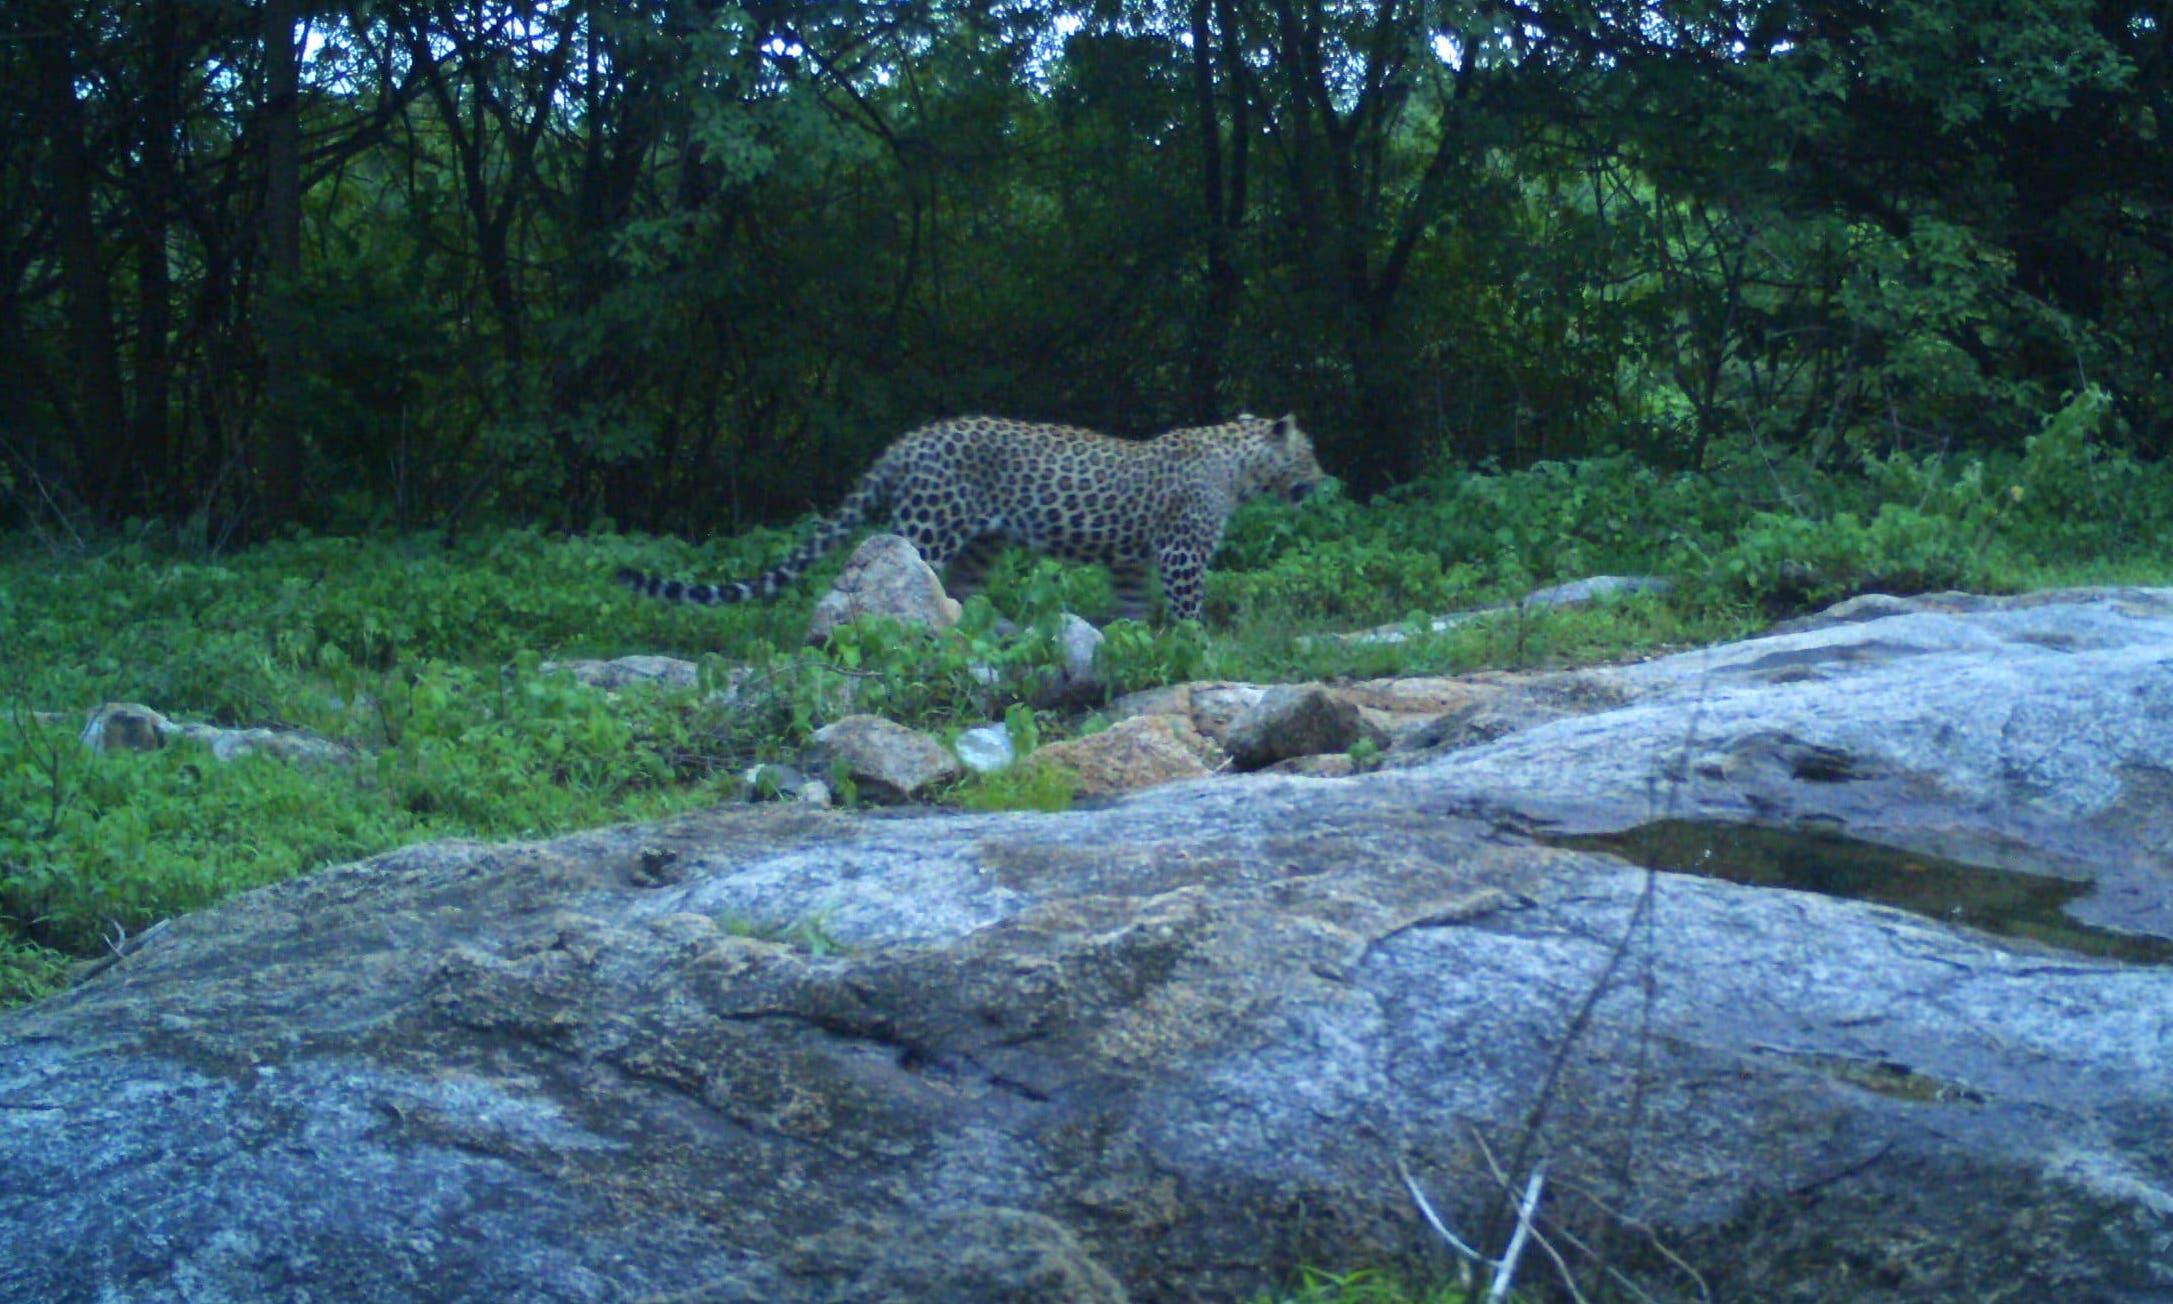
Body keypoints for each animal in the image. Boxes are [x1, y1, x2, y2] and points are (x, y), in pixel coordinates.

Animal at [616, 413, 1323, 623]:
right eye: (1310, 451)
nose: (1322, 479)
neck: (1240, 466)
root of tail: (910, 439)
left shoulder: (1129, 558)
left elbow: (1130, 606)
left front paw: (1134, 639)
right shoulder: (1181, 553)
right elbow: (1187, 605)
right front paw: (1198, 643)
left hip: (980, 545)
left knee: (956, 590)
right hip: (928, 527)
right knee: (890, 575)